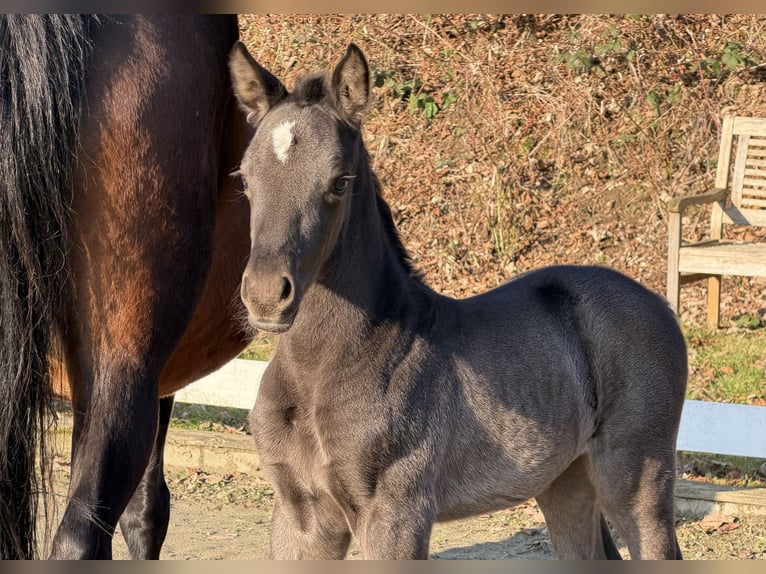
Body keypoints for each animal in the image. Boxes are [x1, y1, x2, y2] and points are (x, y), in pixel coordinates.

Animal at [229, 41, 688, 560]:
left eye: (340, 181)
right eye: (244, 179)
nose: (266, 295)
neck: (324, 369)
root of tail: (660, 305)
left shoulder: (396, 516)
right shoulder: (298, 518)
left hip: (637, 477)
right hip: (565, 480)